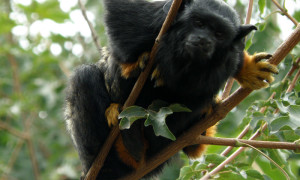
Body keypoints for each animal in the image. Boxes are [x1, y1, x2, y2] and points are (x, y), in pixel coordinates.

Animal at [64, 0, 278, 179]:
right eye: (199, 23)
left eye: (219, 34)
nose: (203, 40)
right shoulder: (160, 17)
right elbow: (124, 29)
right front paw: (136, 65)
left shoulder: (227, 56)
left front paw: (247, 69)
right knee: (84, 76)